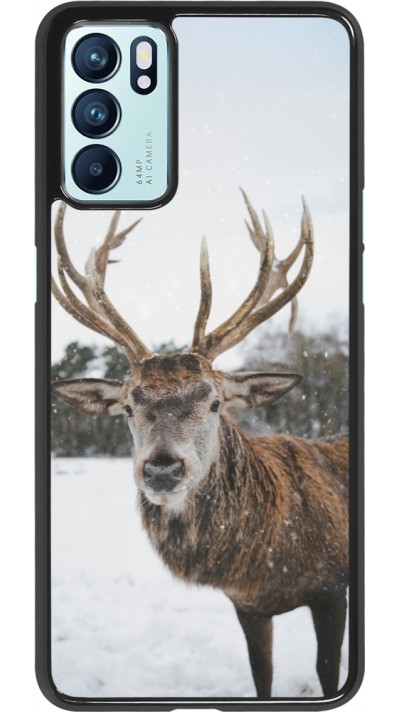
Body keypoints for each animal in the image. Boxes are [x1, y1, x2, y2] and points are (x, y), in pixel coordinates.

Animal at [51, 191, 348, 699]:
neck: (266, 563)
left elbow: (328, 672)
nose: (162, 469)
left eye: (214, 402)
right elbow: (261, 676)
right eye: (128, 407)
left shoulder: (332, 588)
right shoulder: (247, 605)